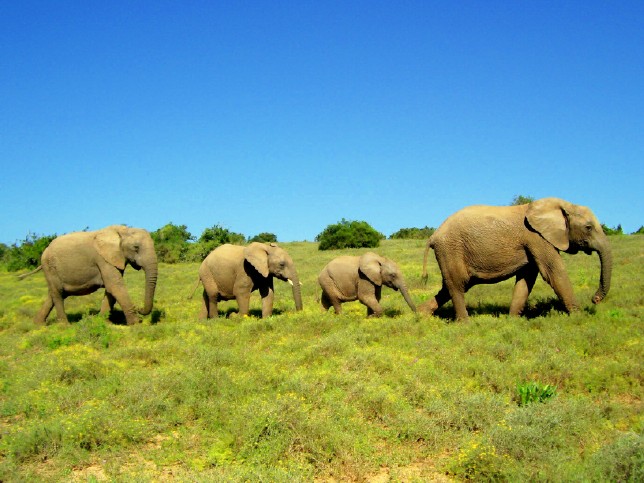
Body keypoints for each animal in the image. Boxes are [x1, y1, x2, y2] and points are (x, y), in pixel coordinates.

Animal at [22, 225, 158, 325]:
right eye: (136, 247)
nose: (139, 308)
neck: (122, 230)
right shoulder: (102, 259)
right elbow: (115, 286)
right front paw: (136, 324)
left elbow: (110, 289)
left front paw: (103, 322)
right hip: (50, 267)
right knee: (58, 293)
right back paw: (65, 326)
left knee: (54, 293)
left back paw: (38, 324)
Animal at [418, 197, 612, 320]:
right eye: (588, 227)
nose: (594, 300)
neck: (563, 204)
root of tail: (434, 235)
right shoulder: (537, 237)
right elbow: (553, 272)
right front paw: (579, 317)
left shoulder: (533, 243)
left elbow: (527, 278)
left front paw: (512, 320)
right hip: (450, 249)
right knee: (457, 285)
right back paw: (465, 323)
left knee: (451, 286)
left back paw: (420, 315)